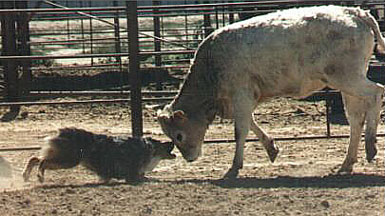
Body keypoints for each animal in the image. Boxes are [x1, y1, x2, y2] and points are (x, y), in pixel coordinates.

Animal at [22, 127, 176, 183]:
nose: (173, 141)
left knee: (35, 158)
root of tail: (62, 132)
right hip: (69, 160)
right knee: (42, 162)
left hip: (63, 157)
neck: (147, 149)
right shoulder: (131, 175)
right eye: (163, 143)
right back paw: (39, 177)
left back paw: (26, 175)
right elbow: (148, 178)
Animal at [157, 5, 384, 178]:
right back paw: (347, 163)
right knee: (355, 118)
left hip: (347, 77)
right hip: (347, 83)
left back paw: (371, 146)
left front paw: (234, 166)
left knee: (376, 92)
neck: (212, 65)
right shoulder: (242, 100)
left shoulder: (241, 93)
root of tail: (355, 12)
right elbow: (250, 122)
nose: (189, 158)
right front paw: (271, 149)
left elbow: (241, 129)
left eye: (178, 136)